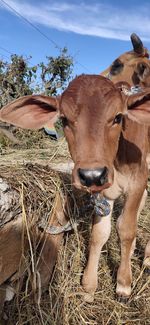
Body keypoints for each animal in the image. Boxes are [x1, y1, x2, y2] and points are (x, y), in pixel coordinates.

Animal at [0, 74, 150, 300]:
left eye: (118, 117)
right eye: (64, 119)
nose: (91, 175)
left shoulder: (137, 182)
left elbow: (126, 229)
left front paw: (123, 283)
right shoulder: (104, 192)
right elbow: (99, 234)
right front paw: (89, 285)